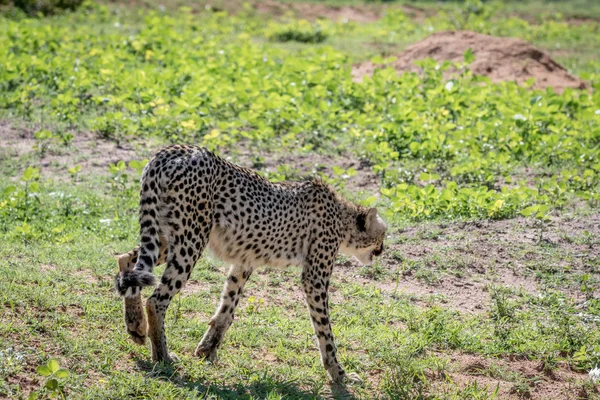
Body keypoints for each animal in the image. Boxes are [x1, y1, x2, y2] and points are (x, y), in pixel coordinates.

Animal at [115, 145, 386, 382]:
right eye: (382, 235)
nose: (382, 250)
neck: (342, 217)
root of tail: (174, 150)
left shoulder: (243, 262)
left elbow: (227, 308)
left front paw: (207, 349)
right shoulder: (314, 279)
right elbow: (325, 329)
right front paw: (338, 373)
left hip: (167, 236)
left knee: (127, 263)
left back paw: (136, 327)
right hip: (191, 240)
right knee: (156, 299)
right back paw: (162, 356)